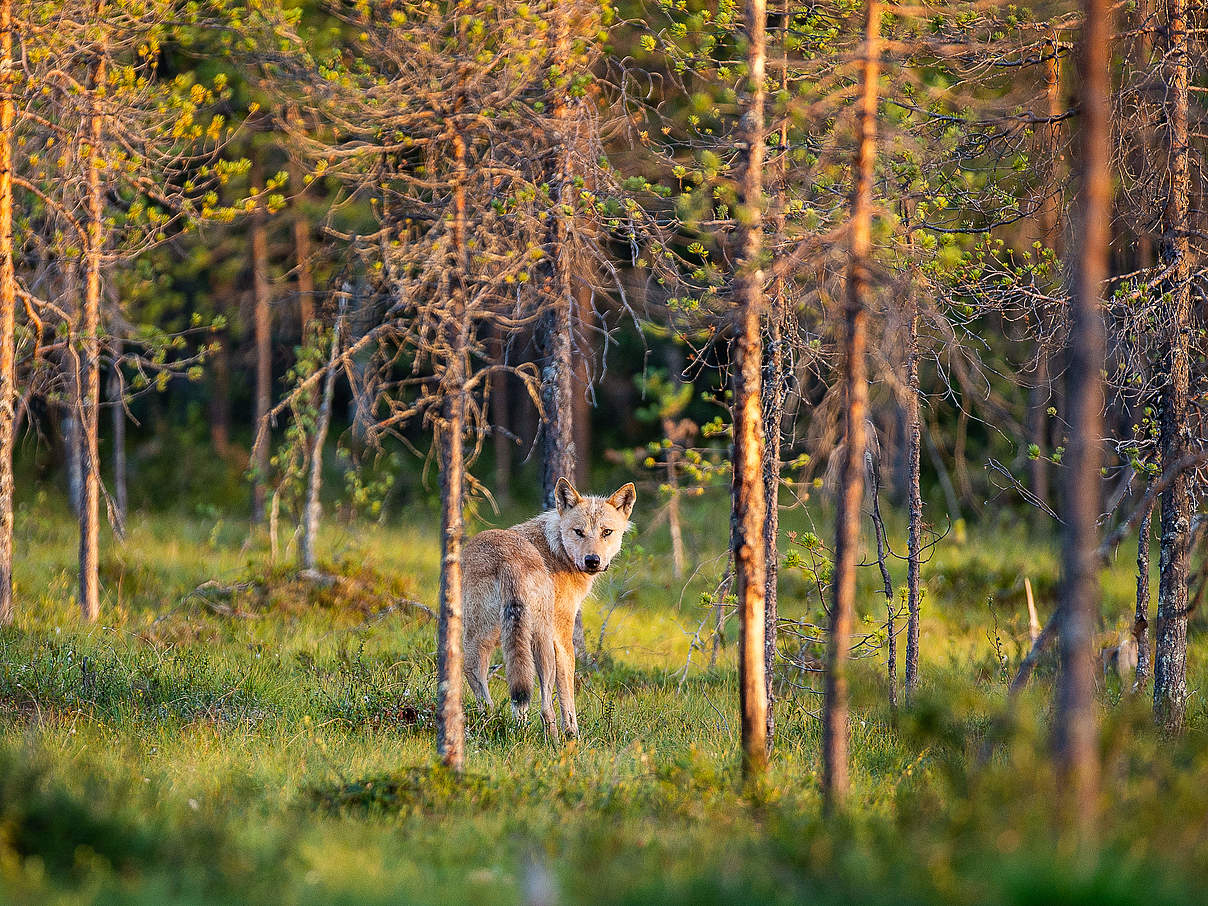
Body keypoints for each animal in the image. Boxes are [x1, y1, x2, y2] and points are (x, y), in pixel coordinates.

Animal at [456, 478, 637, 739]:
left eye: (607, 532)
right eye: (579, 532)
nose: (592, 561)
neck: (556, 550)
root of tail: (507, 558)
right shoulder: (562, 638)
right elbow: (567, 696)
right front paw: (573, 736)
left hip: (490, 639)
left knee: (494, 692)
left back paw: (505, 730)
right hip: (533, 642)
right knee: (542, 706)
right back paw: (551, 739)